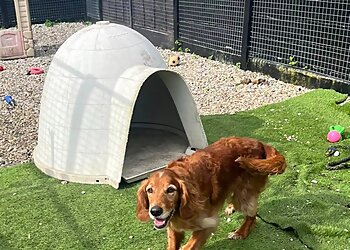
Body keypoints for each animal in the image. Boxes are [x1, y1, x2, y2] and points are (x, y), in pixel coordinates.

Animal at [135, 137, 286, 250]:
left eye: (171, 190)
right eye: (150, 190)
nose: (155, 211)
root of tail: (259, 143)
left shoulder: (208, 223)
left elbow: (189, 246)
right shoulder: (172, 226)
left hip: (245, 193)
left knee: (252, 216)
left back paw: (240, 232)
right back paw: (230, 207)